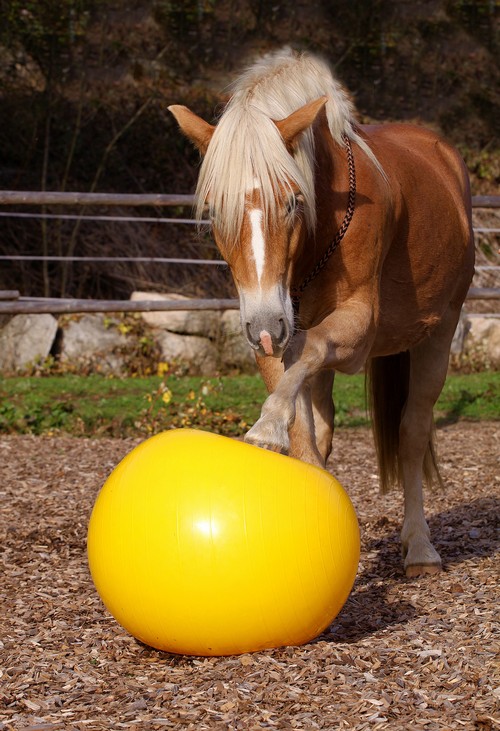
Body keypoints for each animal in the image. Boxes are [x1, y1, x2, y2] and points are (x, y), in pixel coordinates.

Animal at [170, 48, 474, 580]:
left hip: (438, 334)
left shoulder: (354, 328)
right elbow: (304, 431)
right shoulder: (271, 334)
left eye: (293, 201)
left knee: (412, 432)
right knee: (328, 422)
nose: (266, 327)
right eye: (213, 211)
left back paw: (419, 548)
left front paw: (264, 427)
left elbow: (308, 354)